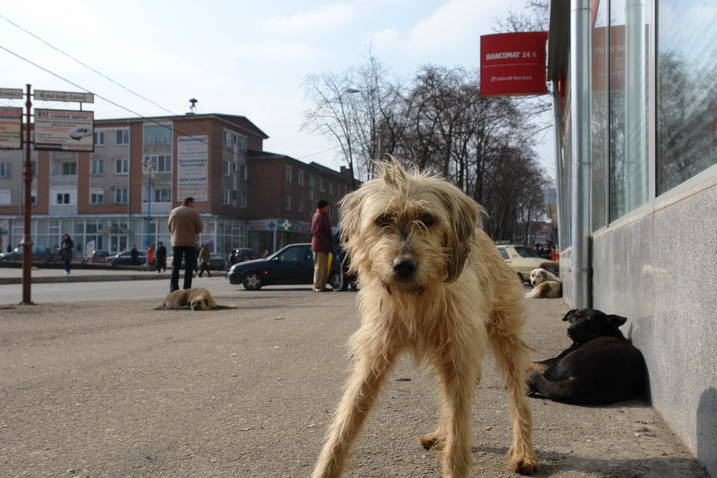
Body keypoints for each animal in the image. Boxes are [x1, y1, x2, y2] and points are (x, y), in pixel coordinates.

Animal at [310, 160, 536, 478]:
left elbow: (459, 432)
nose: (403, 266)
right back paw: (441, 433)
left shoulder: (458, 356)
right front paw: (326, 468)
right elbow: (347, 417)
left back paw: (524, 453)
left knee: (517, 398)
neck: (416, 299)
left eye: (427, 219)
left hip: (505, 341)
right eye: (382, 219)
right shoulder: (374, 356)